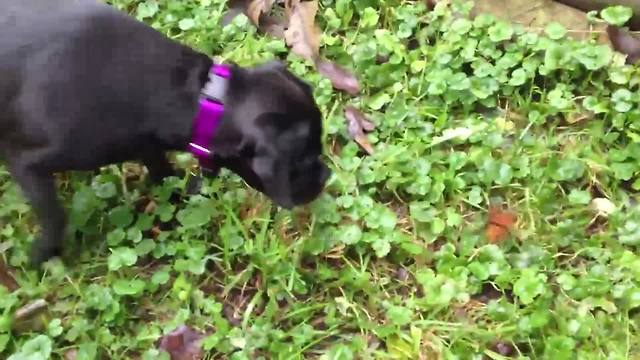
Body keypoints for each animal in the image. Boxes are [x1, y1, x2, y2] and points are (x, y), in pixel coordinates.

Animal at [0, 0, 330, 268]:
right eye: (302, 161)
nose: (326, 176)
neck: (205, 96)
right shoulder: (26, 162)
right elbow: (55, 217)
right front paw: (40, 256)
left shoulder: (145, 141)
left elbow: (161, 169)